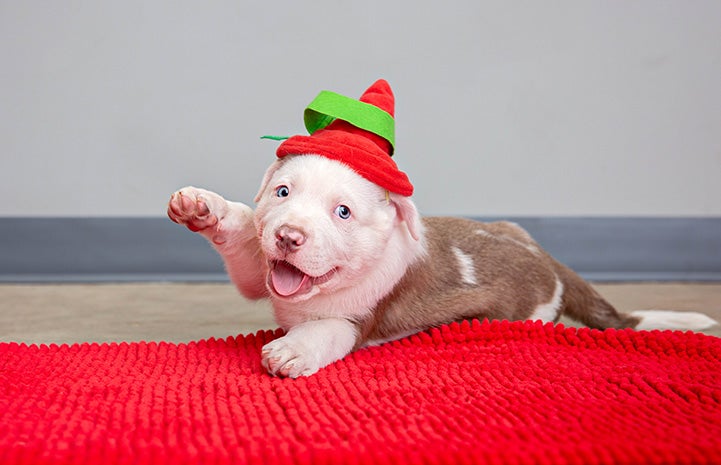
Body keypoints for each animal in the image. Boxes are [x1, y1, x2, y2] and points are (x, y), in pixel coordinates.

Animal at [167, 153, 716, 376]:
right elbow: (245, 237)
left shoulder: (356, 317)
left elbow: (327, 331)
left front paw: (291, 351)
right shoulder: (260, 270)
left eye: (342, 212)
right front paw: (203, 206)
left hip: (532, 311)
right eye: (282, 192)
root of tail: (547, 259)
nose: (288, 236)